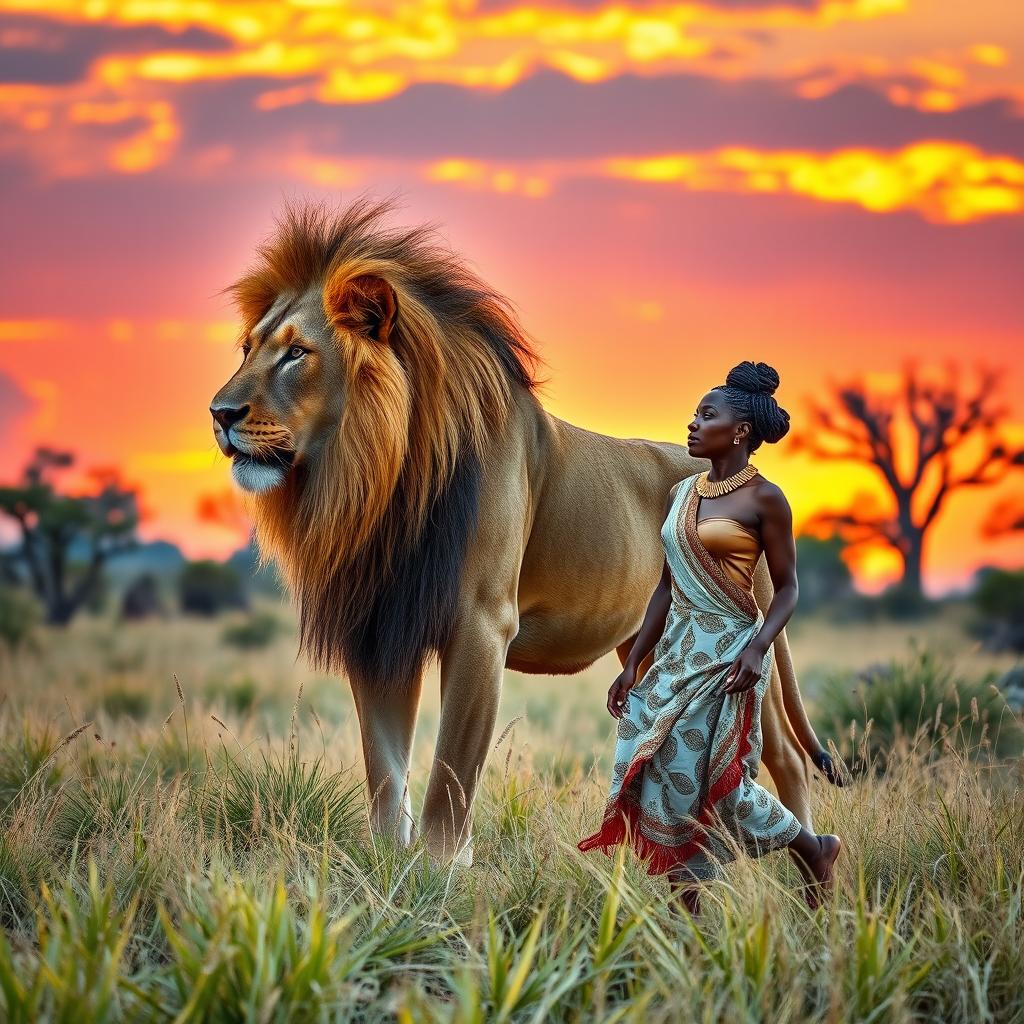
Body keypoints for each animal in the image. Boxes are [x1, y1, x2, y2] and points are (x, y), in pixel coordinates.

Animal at [210, 197, 841, 866]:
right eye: (248, 347)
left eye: (296, 353)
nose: (218, 414)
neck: (386, 477)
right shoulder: (381, 629)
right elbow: (385, 769)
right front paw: (386, 865)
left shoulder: (482, 624)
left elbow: (450, 774)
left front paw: (438, 873)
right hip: (644, 645)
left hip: (753, 647)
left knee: (786, 756)